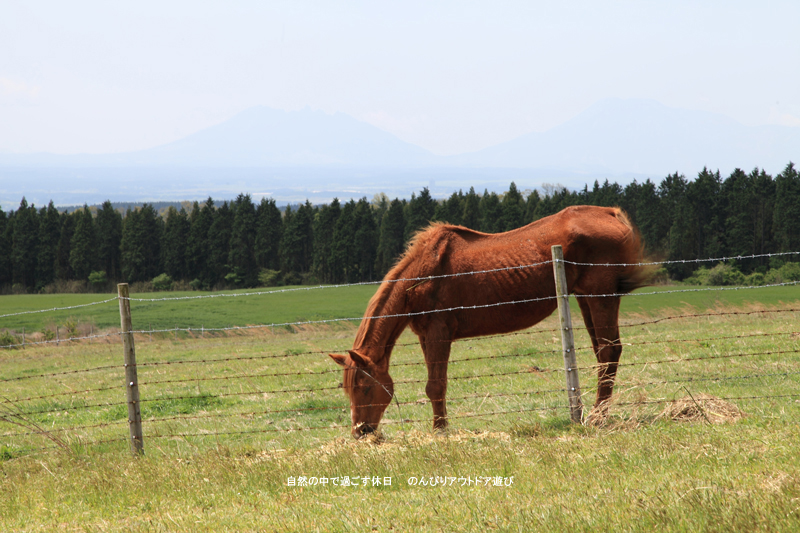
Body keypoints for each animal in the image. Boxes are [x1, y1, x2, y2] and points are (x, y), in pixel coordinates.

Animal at [328, 204, 648, 436]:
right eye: (348, 388)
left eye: (365, 387)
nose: (361, 432)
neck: (420, 278)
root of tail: (610, 213)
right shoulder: (424, 336)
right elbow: (434, 385)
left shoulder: (438, 332)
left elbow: (435, 386)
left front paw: (440, 432)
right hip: (584, 297)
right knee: (603, 354)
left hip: (600, 295)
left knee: (609, 351)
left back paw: (597, 418)